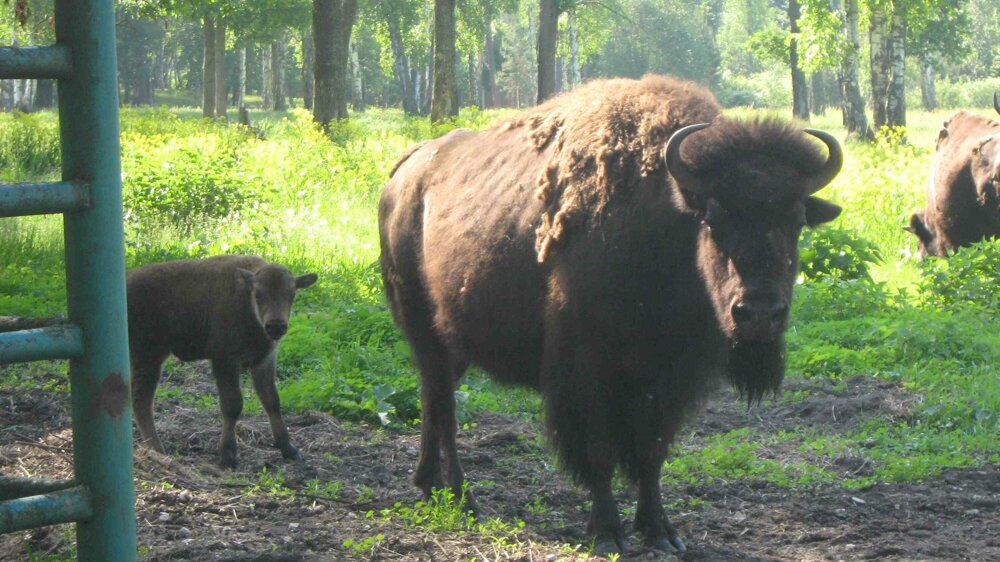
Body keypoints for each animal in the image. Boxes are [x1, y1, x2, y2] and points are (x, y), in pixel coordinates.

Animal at [127, 256, 316, 466]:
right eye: (258, 294)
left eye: (292, 294)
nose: (276, 326)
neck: (246, 300)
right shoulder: (225, 361)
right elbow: (232, 405)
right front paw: (228, 455)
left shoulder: (264, 361)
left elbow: (272, 401)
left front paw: (289, 449)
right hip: (148, 357)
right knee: (142, 400)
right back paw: (158, 449)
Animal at [376, 73, 844, 552]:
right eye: (714, 217)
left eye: (796, 220)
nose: (760, 314)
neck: (665, 221)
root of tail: (405, 173)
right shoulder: (587, 372)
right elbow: (598, 453)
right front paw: (607, 534)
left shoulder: (670, 377)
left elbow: (651, 453)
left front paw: (660, 532)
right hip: (424, 330)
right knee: (443, 406)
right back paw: (463, 498)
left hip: (454, 343)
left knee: (434, 401)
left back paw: (430, 485)